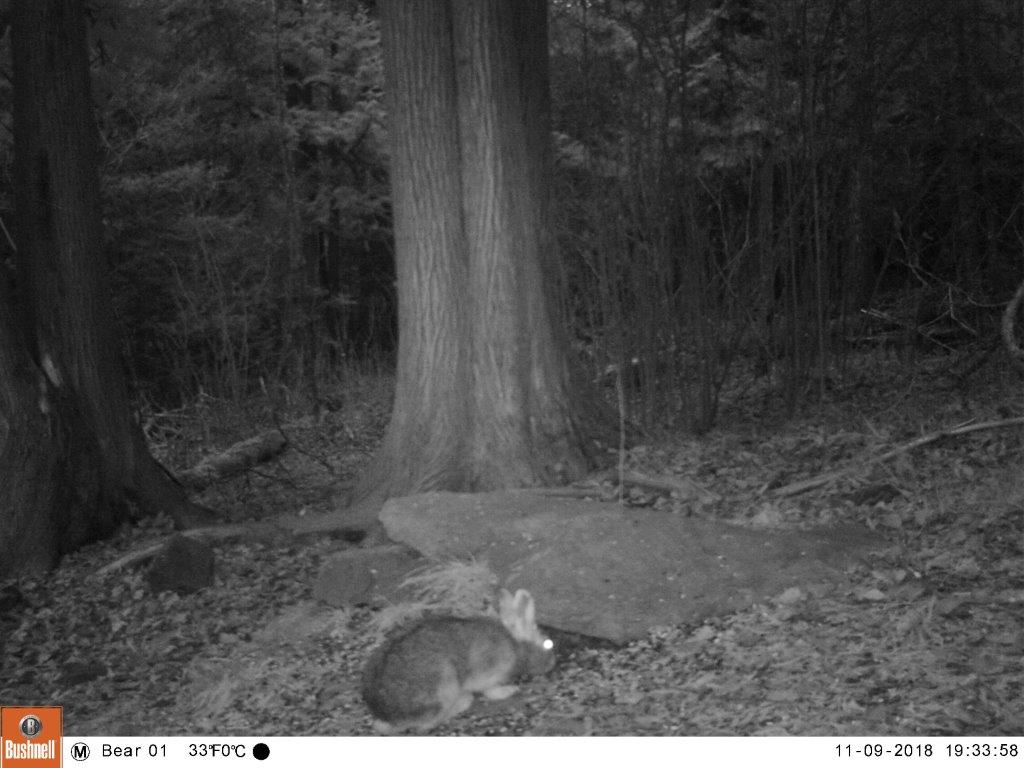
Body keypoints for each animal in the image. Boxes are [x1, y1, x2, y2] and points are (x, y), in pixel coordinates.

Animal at [361, 588, 555, 733]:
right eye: (548, 644)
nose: (552, 662)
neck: (515, 644)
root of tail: (387, 715)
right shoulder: (489, 673)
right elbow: (490, 691)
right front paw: (509, 690)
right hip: (445, 686)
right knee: (428, 724)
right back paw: (463, 701)